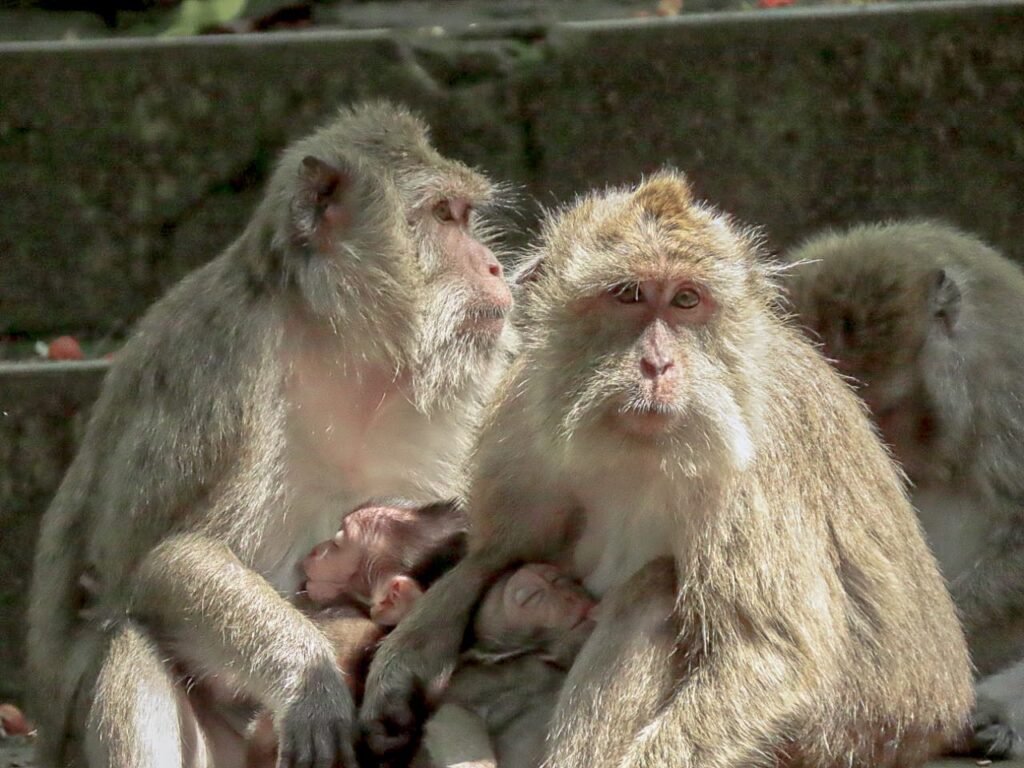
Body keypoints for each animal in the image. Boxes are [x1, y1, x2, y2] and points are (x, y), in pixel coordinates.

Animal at [26, 101, 514, 768]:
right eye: (444, 216)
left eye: (465, 216)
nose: (493, 265)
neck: (340, 349)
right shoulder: (224, 374)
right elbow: (166, 559)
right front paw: (310, 680)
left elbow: (489, 539)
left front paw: (400, 662)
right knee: (130, 642)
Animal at [360, 171, 974, 768]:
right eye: (629, 295)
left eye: (685, 299)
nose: (658, 364)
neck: (635, 443)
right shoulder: (522, 411)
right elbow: (499, 555)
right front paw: (402, 664)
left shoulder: (747, 461)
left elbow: (770, 654)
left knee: (655, 592)